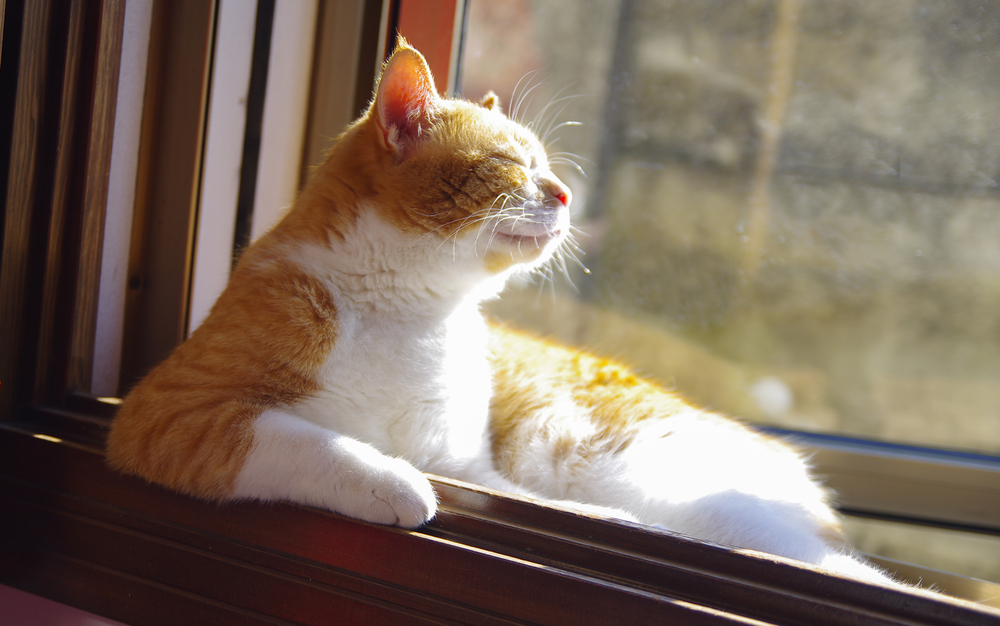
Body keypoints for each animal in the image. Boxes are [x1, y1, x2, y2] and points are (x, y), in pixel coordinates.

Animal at [107, 37, 892, 584]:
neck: (414, 312)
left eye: (546, 164)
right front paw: (391, 482)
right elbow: (309, 441)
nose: (568, 194)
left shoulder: (466, 463)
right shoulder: (171, 412)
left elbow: (531, 500)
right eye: (515, 164)